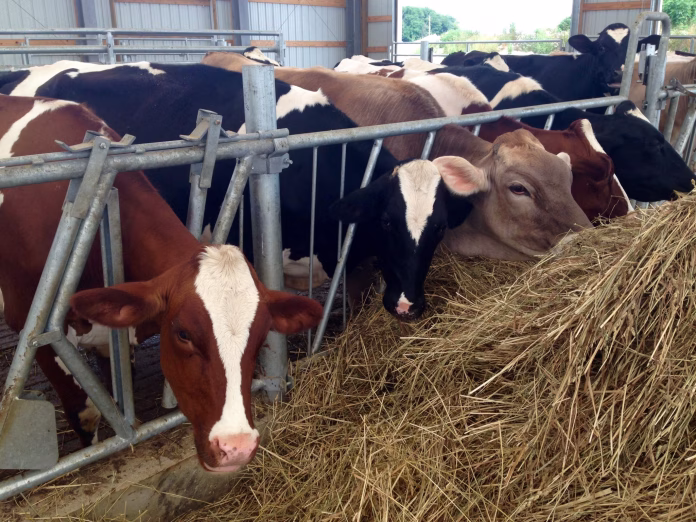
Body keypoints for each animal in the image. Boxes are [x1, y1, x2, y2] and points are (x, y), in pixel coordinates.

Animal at [0, 95, 323, 471]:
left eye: (260, 337)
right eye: (183, 334)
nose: (236, 447)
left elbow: (117, 394)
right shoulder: (34, 327)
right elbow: (87, 412)